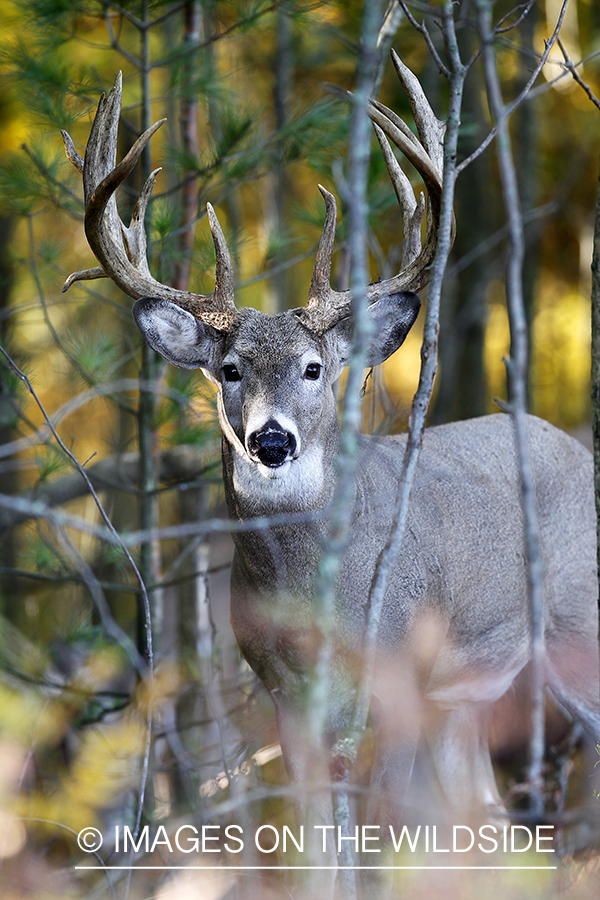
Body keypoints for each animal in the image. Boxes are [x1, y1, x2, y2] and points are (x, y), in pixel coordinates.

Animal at [62, 56, 600, 880]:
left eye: (315, 368)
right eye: (229, 369)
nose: (270, 441)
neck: (314, 597)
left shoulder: (402, 676)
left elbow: (384, 844)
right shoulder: (285, 694)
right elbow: (314, 850)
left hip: (577, 630)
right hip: (468, 697)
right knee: (487, 820)